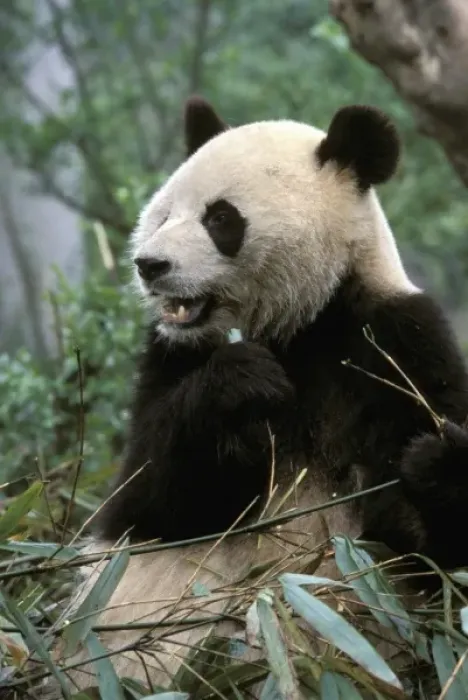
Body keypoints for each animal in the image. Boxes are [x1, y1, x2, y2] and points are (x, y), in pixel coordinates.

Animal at [52, 97, 468, 694]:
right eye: (164, 215)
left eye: (220, 218)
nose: (150, 265)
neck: (298, 326)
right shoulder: (170, 355)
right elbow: (143, 504)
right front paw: (239, 384)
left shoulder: (398, 341)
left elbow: (428, 553)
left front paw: (435, 461)